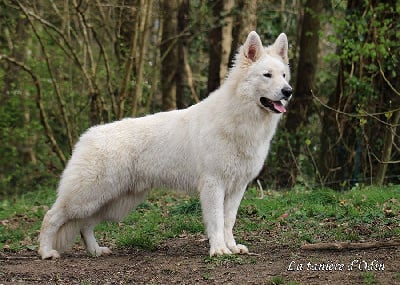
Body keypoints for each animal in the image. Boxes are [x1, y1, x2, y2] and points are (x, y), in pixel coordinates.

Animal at [39, 31, 292, 258]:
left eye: (284, 75)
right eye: (267, 75)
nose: (288, 91)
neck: (239, 117)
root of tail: (87, 136)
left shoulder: (237, 187)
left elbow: (228, 221)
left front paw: (231, 247)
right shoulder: (213, 185)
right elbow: (216, 221)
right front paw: (219, 250)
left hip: (111, 201)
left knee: (85, 225)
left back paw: (95, 251)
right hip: (87, 197)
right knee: (51, 217)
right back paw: (46, 252)